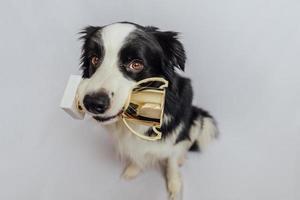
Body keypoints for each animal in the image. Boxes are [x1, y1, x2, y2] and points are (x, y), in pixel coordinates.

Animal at [77, 21, 218, 199]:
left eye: (136, 64)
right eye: (94, 59)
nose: (92, 103)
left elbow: (172, 161)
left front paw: (175, 187)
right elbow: (137, 154)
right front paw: (132, 170)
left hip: (196, 118)